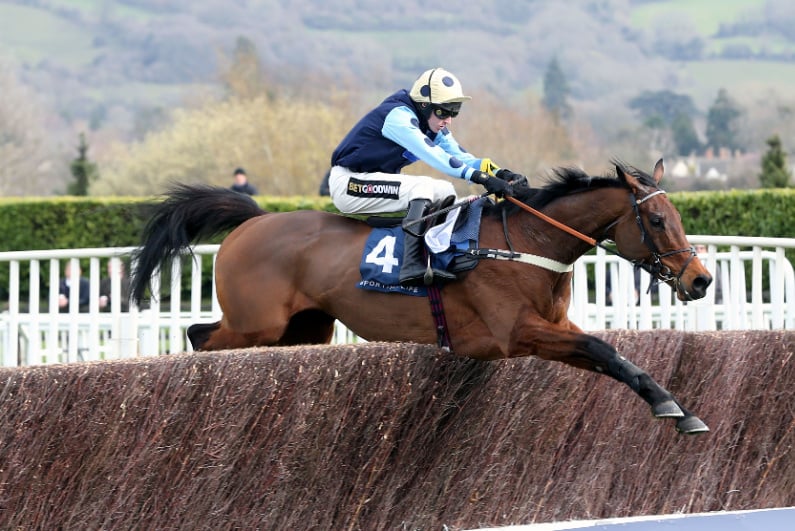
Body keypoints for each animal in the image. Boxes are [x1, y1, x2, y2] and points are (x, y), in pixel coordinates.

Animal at [131, 160, 716, 434]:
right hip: (256, 324)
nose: (700, 280)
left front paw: (679, 408)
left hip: (306, 329)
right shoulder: (516, 333)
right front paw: (672, 406)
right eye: (657, 220)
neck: (528, 243)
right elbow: (602, 349)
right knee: (199, 335)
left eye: (677, 216)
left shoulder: (554, 327)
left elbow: (615, 358)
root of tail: (253, 221)